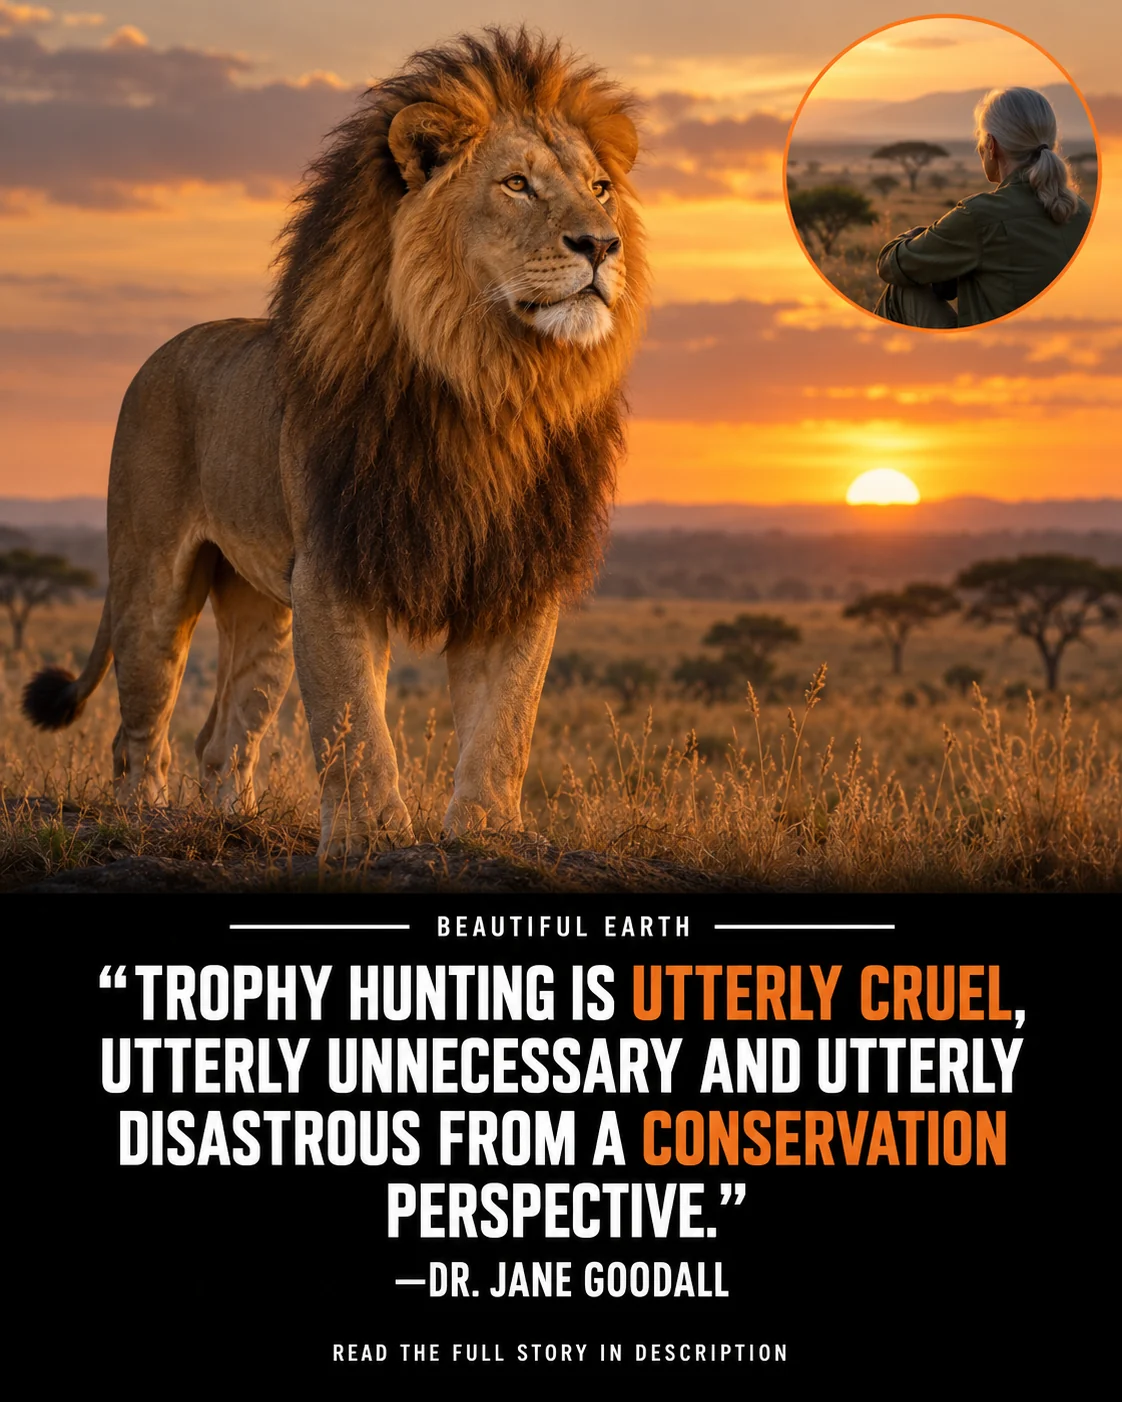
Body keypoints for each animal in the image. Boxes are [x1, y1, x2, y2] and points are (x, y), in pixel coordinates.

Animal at [21, 26, 649, 855]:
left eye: (601, 187)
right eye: (517, 184)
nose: (602, 245)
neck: (493, 382)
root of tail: (165, 350)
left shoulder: (514, 572)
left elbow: (505, 724)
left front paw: (489, 834)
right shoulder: (336, 566)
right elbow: (355, 721)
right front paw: (367, 837)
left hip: (263, 609)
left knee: (223, 736)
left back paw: (236, 824)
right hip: (151, 582)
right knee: (139, 730)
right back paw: (146, 821)